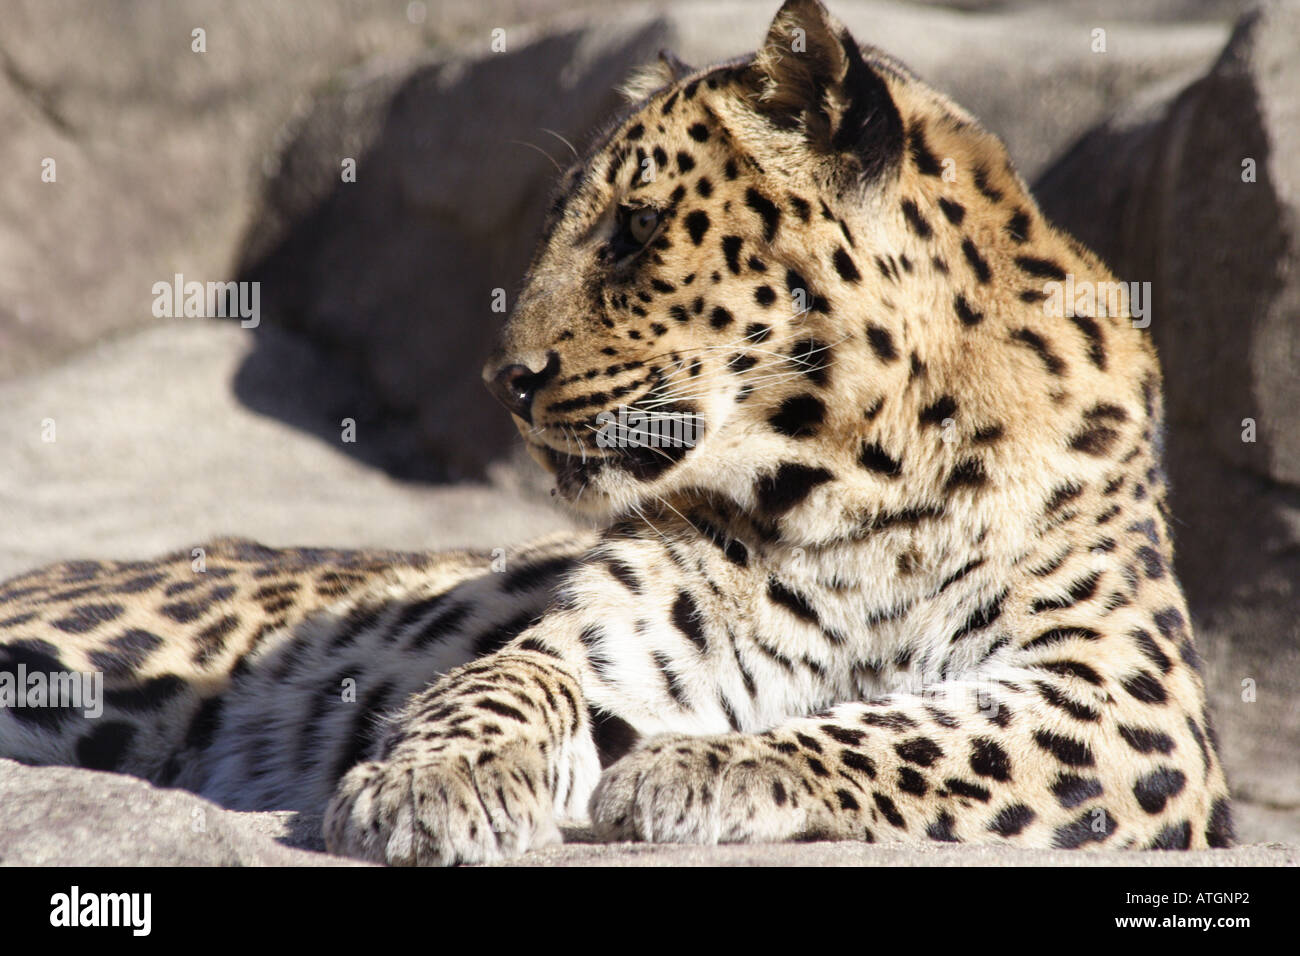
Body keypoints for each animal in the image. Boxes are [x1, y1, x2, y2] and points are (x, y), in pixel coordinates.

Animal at [0, 0, 1233, 864]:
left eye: (636, 231)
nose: (504, 379)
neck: (854, 475)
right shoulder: (620, 639)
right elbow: (508, 679)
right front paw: (429, 782)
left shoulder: (1126, 701)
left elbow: (909, 734)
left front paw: (699, 769)